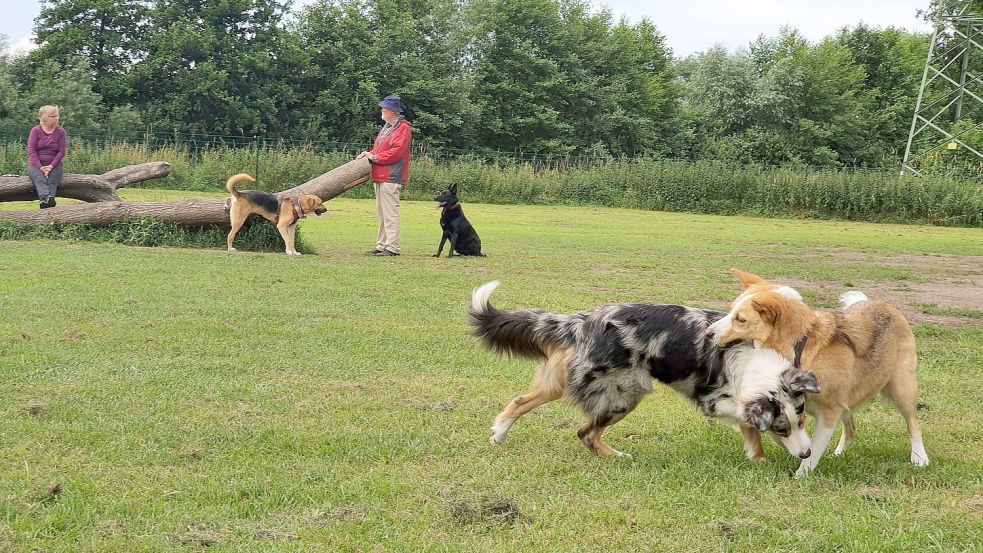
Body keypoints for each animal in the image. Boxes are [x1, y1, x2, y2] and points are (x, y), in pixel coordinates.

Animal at [708, 268, 932, 474]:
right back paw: (839, 453)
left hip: (902, 389)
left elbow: (812, 449)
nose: (708, 333)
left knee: (914, 424)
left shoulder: (829, 413)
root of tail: (885, 305)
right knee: (851, 427)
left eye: (741, 319)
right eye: (730, 310)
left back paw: (919, 458)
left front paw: (801, 474)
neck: (798, 347)